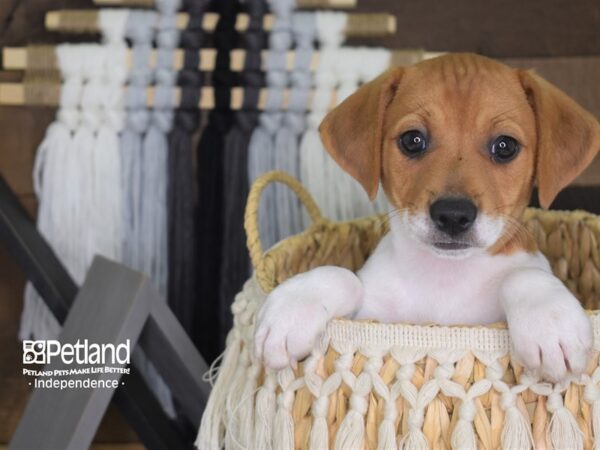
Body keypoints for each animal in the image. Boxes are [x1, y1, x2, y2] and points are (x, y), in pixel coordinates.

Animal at [253, 53, 600, 384]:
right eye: (412, 140)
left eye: (505, 146)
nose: (453, 215)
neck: (445, 277)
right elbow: (343, 275)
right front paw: (293, 307)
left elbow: (524, 276)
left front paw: (552, 323)